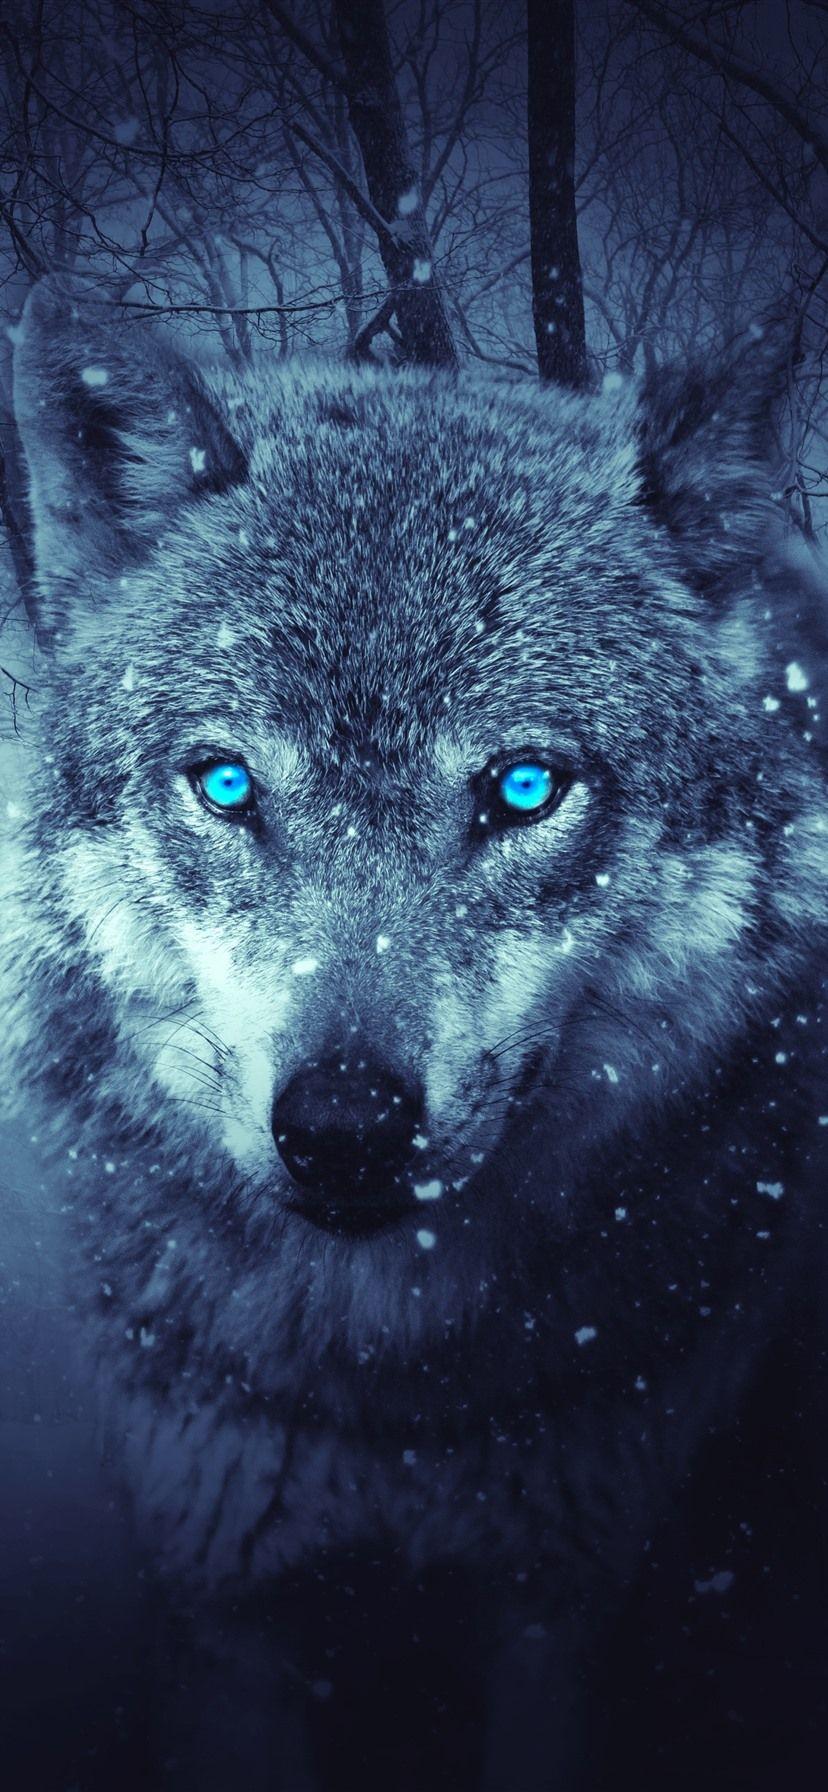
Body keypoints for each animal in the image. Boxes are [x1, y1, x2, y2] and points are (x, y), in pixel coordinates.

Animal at [1, 275, 826, 1790]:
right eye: (226, 784)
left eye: (524, 786)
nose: (344, 1128)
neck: (389, 1397)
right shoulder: (228, 1606)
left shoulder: (560, 1606)